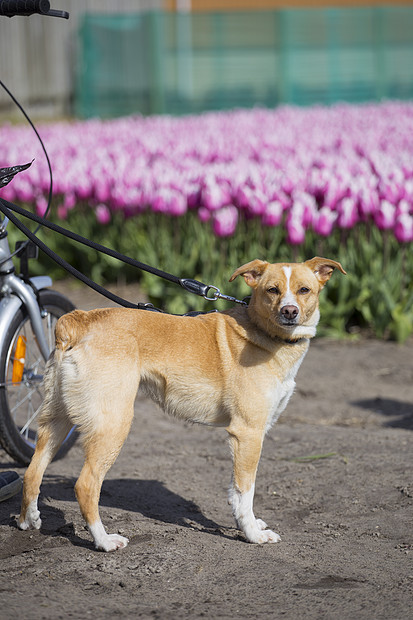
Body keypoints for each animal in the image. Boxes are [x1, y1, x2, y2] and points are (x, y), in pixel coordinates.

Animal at [17, 256, 342, 552]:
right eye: (272, 290)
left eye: (304, 290)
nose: (290, 311)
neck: (262, 331)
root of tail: (80, 322)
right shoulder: (248, 433)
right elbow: (245, 489)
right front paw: (252, 533)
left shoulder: (243, 438)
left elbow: (236, 493)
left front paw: (245, 522)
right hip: (113, 424)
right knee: (85, 486)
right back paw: (104, 540)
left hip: (57, 420)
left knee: (32, 471)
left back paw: (27, 520)